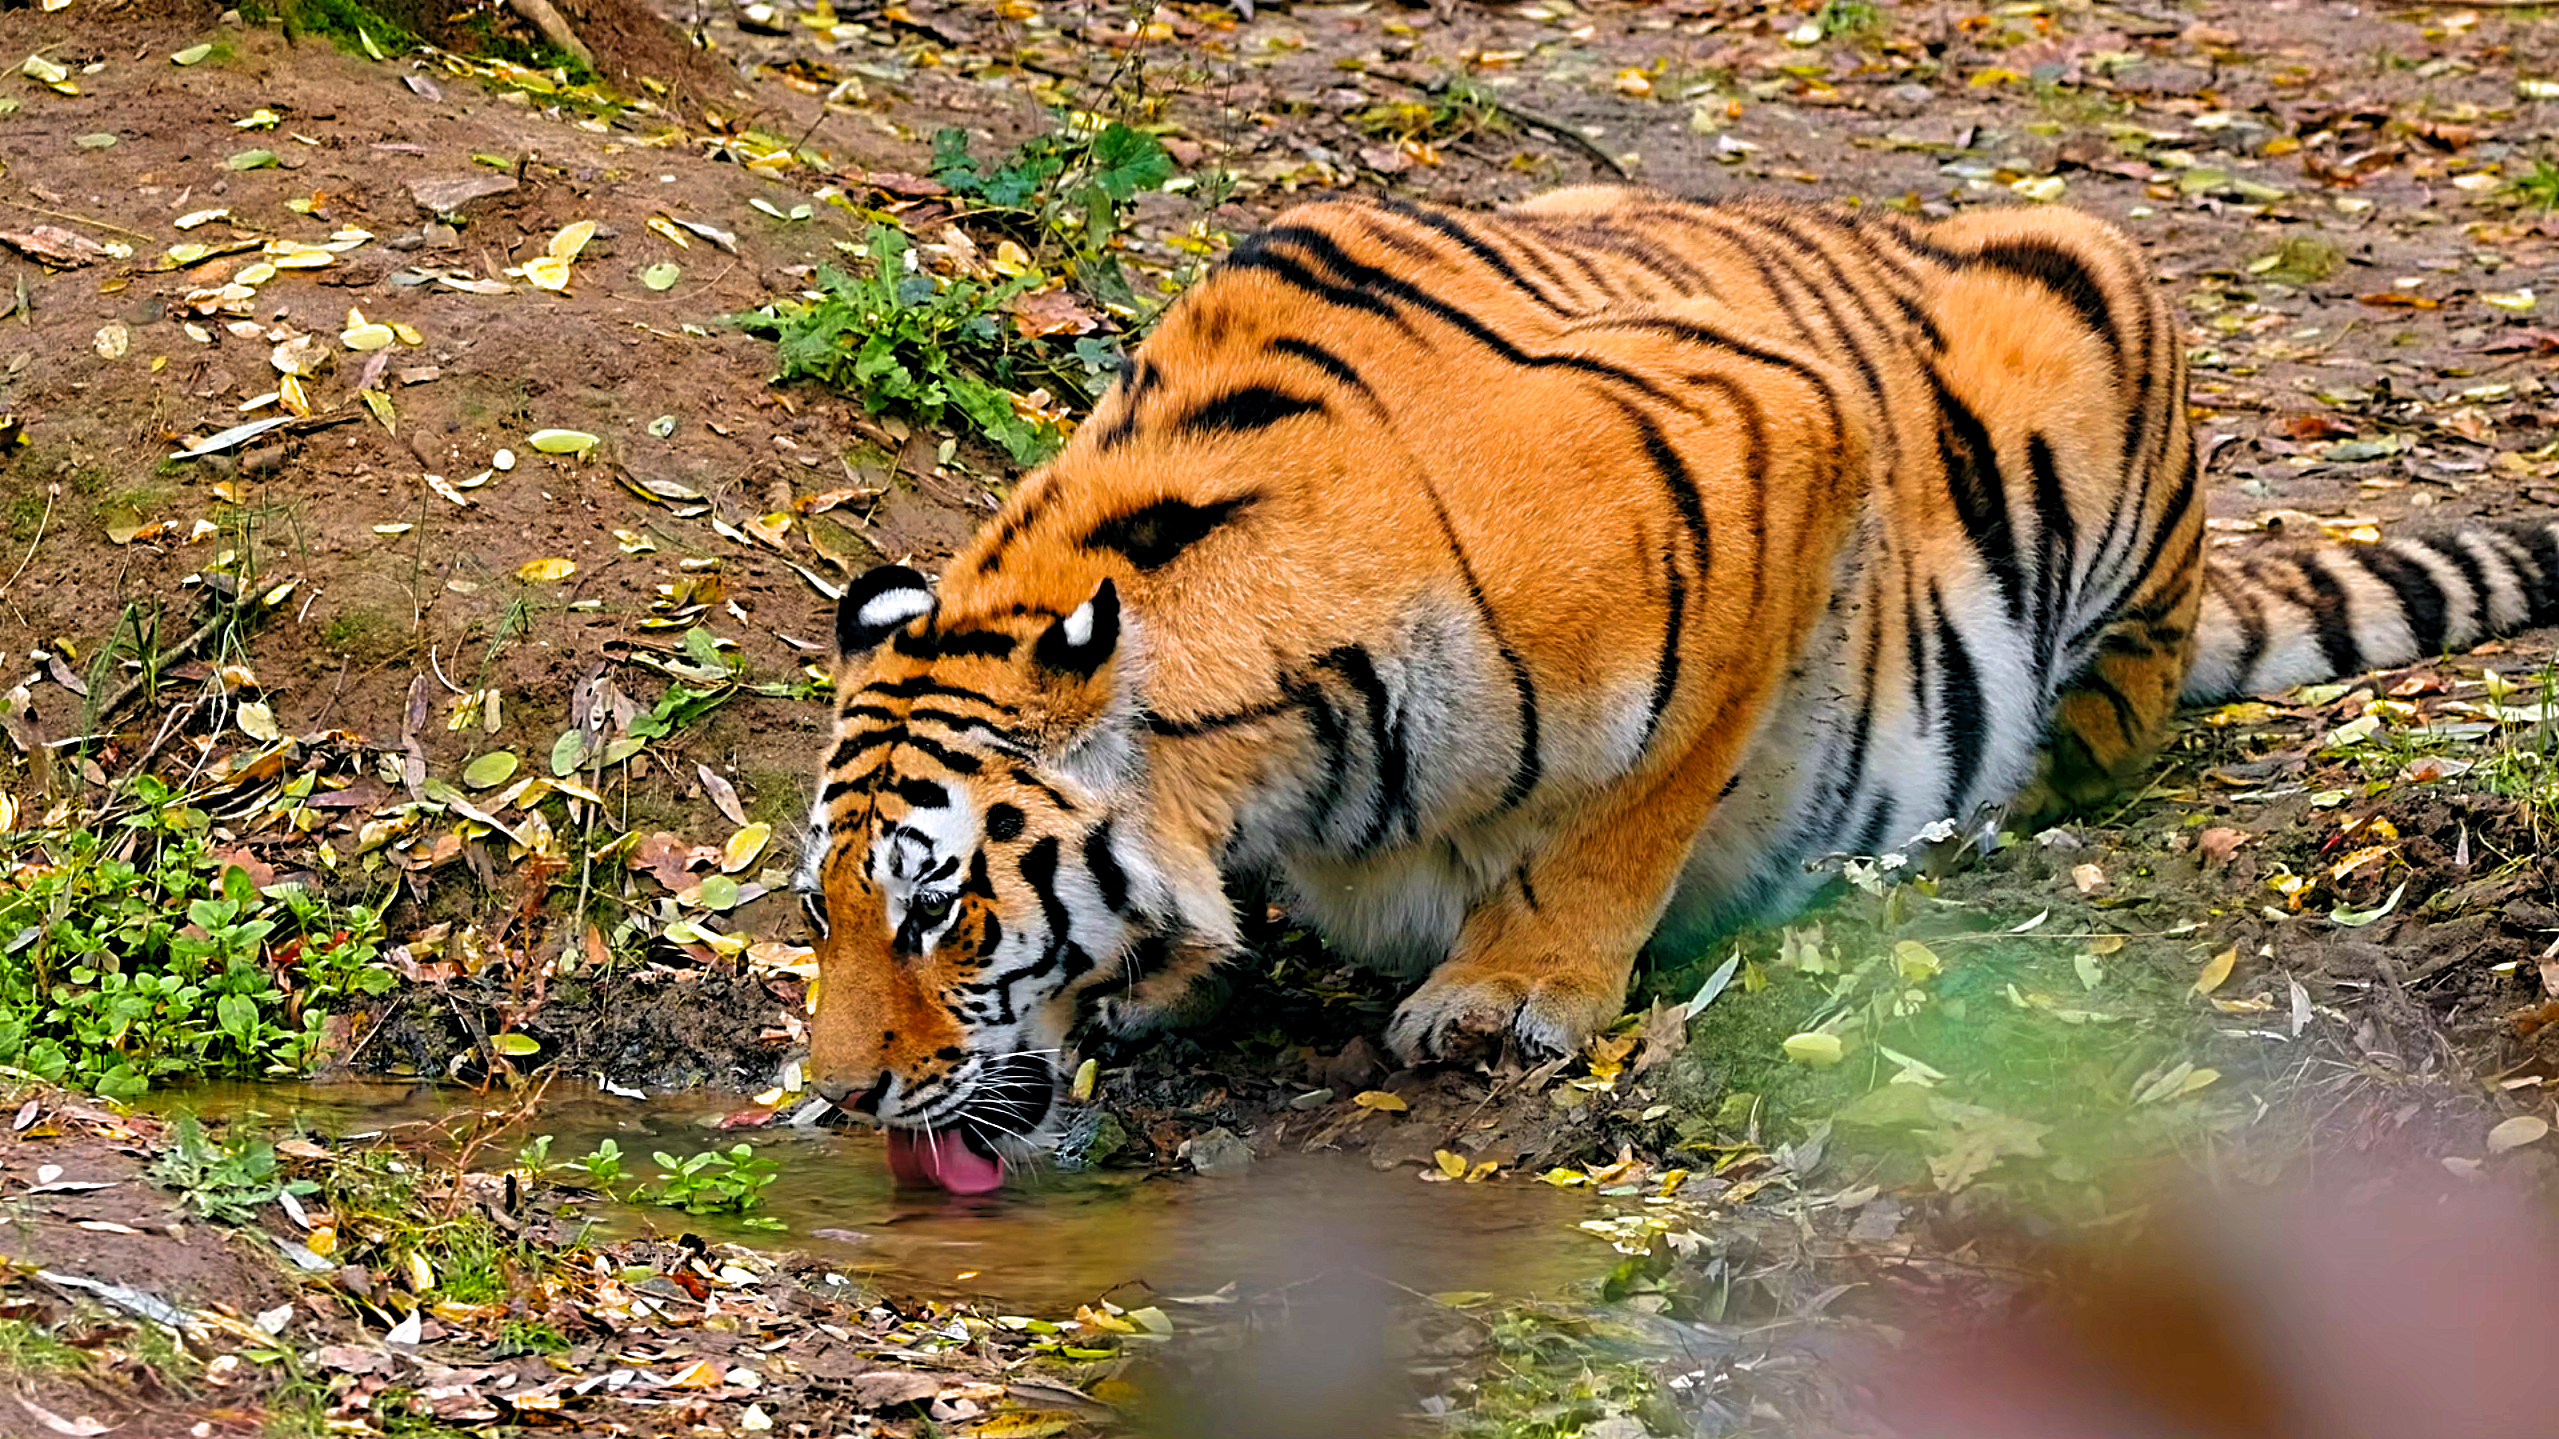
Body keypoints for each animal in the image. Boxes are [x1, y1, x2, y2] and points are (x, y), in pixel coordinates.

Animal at [796, 186, 2559, 1191]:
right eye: (820, 910)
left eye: (940, 909)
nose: (835, 1096)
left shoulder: (1774, 455)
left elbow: (1627, 808)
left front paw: (1510, 991)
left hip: (2083, 315)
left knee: (2094, 733)